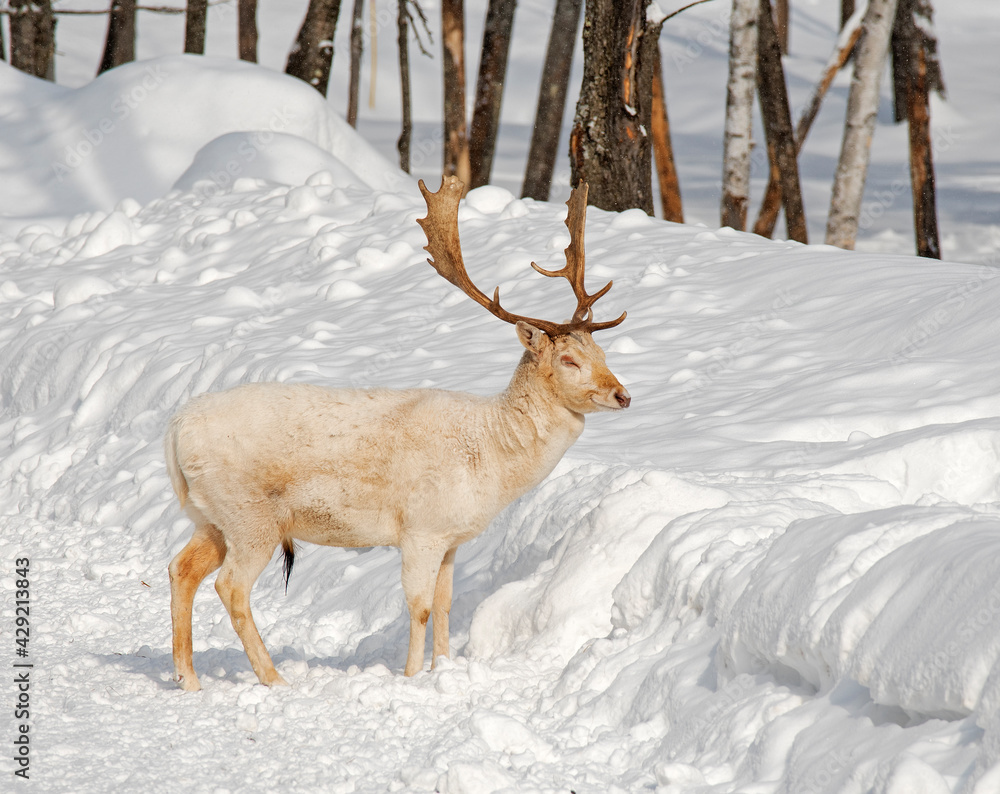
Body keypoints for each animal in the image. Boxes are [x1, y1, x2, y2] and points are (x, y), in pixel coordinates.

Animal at [165, 175, 630, 690]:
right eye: (569, 359)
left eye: (602, 352)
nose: (623, 395)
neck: (489, 459)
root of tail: (175, 428)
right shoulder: (421, 528)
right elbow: (420, 606)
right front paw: (411, 677)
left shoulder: (451, 537)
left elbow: (445, 605)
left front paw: (442, 669)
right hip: (251, 517)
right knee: (230, 586)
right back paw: (274, 679)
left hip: (210, 515)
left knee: (180, 569)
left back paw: (188, 678)